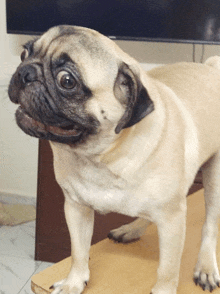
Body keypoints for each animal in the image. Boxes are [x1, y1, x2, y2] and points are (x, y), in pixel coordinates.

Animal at [7, 25, 220, 294]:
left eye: (67, 81)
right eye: (24, 53)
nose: (25, 71)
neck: (100, 158)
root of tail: (211, 68)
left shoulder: (172, 221)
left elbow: (167, 272)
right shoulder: (76, 208)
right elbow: (78, 251)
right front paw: (74, 282)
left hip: (214, 181)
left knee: (209, 226)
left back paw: (206, 267)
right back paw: (132, 229)